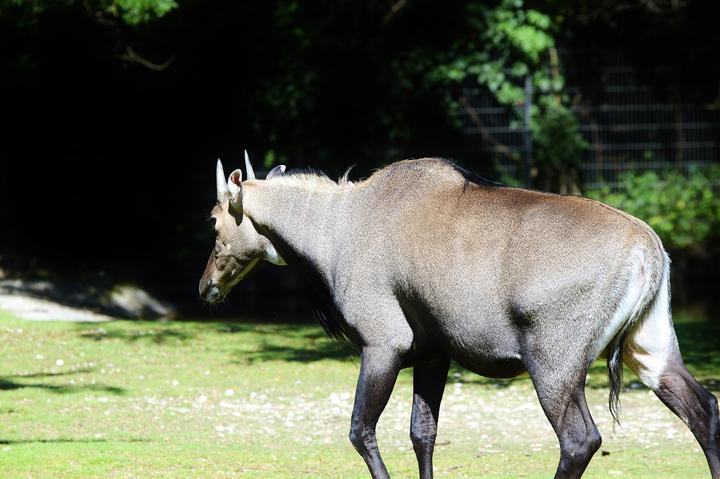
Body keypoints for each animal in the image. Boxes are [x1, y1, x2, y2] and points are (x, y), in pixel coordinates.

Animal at [198, 155, 720, 479]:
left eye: (215, 219)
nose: (206, 287)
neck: (337, 226)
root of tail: (648, 249)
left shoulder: (383, 344)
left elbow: (360, 430)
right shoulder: (433, 354)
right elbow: (422, 433)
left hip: (554, 367)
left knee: (580, 440)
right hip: (650, 349)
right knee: (704, 409)